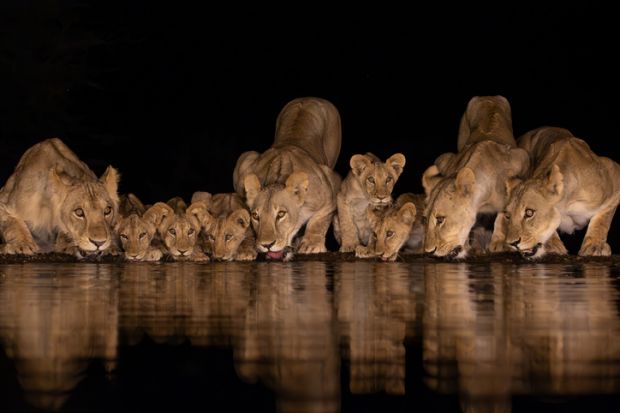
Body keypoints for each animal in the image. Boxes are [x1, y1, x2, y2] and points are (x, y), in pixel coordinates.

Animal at [232, 96, 342, 260]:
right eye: (256, 216)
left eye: (281, 214)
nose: (267, 245)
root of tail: (308, 97)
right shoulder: (243, 174)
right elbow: (245, 225)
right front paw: (245, 248)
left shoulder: (330, 184)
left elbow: (319, 220)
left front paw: (311, 244)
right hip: (247, 155)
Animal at [422, 96, 528, 258]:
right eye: (424, 219)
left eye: (440, 220)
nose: (428, 252)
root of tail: (488, 96)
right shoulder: (446, 161)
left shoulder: (522, 159)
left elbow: (504, 212)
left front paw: (498, 242)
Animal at [504, 127, 620, 260]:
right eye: (508, 216)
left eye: (529, 213)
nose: (512, 243)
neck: (564, 204)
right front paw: (553, 246)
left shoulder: (613, 175)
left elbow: (602, 219)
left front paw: (595, 246)